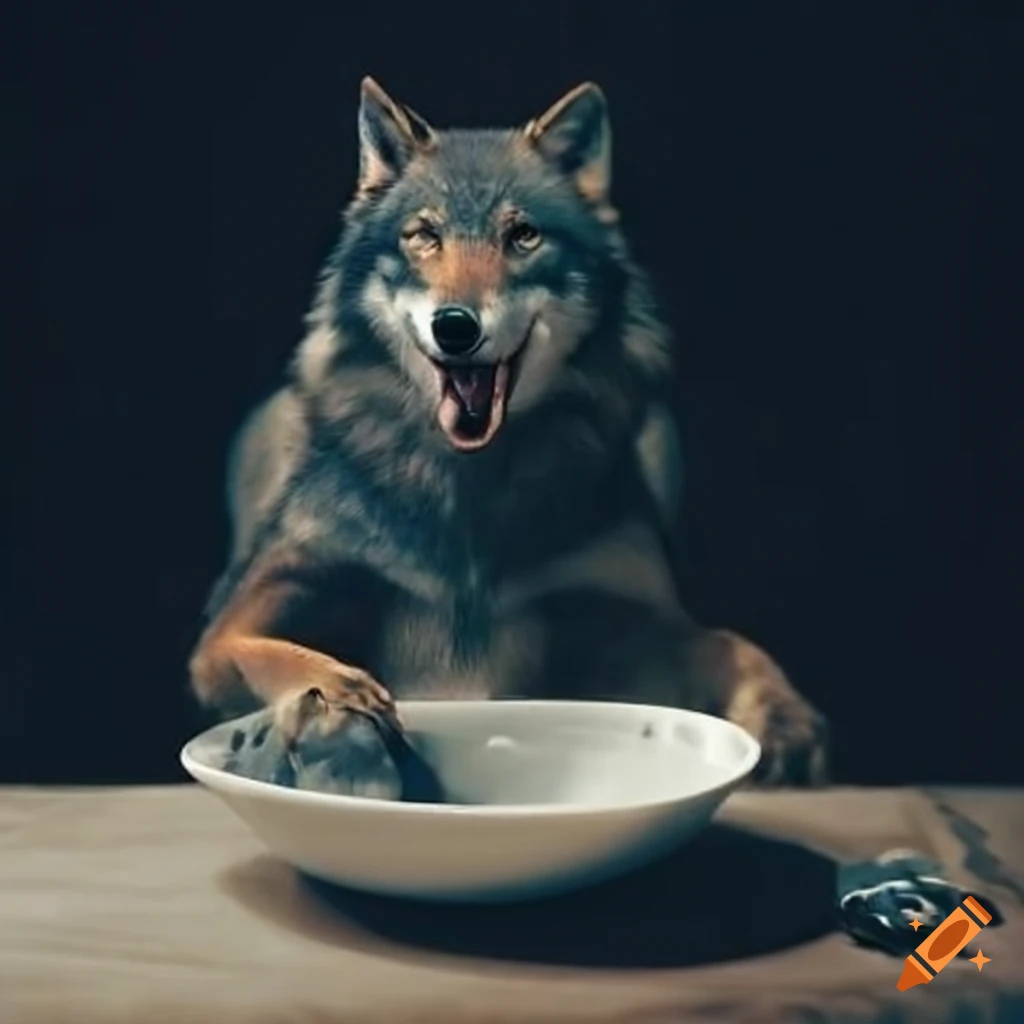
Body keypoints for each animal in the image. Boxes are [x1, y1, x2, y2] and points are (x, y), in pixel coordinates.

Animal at [189, 78, 828, 785]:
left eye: (522, 236)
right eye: (424, 236)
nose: (455, 326)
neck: (469, 495)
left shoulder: (619, 631)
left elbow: (729, 643)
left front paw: (785, 720)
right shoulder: (234, 626)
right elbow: (259, 650)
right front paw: (335, 695)